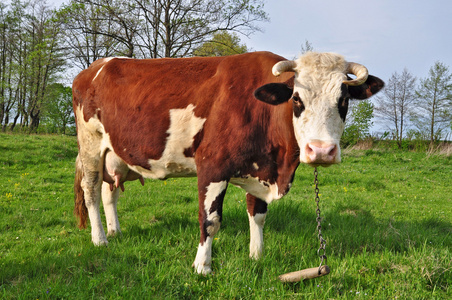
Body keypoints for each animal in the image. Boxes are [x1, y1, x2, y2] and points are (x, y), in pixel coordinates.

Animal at [72, 51, 384, 274]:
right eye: (296, 98)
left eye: (343, 100)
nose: (321, 150)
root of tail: (96, 67)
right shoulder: (212, 167)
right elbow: (210, 221)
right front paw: (202, 267)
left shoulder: (261, 169)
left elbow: (257, 215)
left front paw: (257, 256)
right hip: (90, 145)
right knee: (91, 191)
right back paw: (100, 239)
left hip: (114, 153)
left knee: (109, 192)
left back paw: (114, 230)